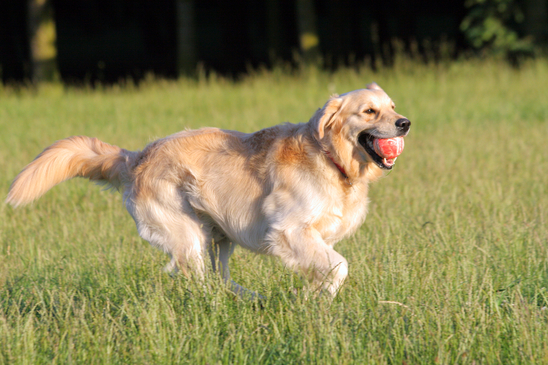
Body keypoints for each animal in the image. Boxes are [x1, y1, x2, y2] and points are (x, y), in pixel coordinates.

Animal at [5, 84, 406, 298]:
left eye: (392, 106)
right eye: (369, 112)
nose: (405, 123)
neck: (331, 159)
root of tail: (137, 156)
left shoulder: (317, 238)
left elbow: (326, 267)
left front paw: (310, 297)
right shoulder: (289, 231)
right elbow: (339, 266)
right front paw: (317, 299)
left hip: (219, 235)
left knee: (221, 279)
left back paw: (250, 298)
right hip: (188, 234)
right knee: (200, 283)